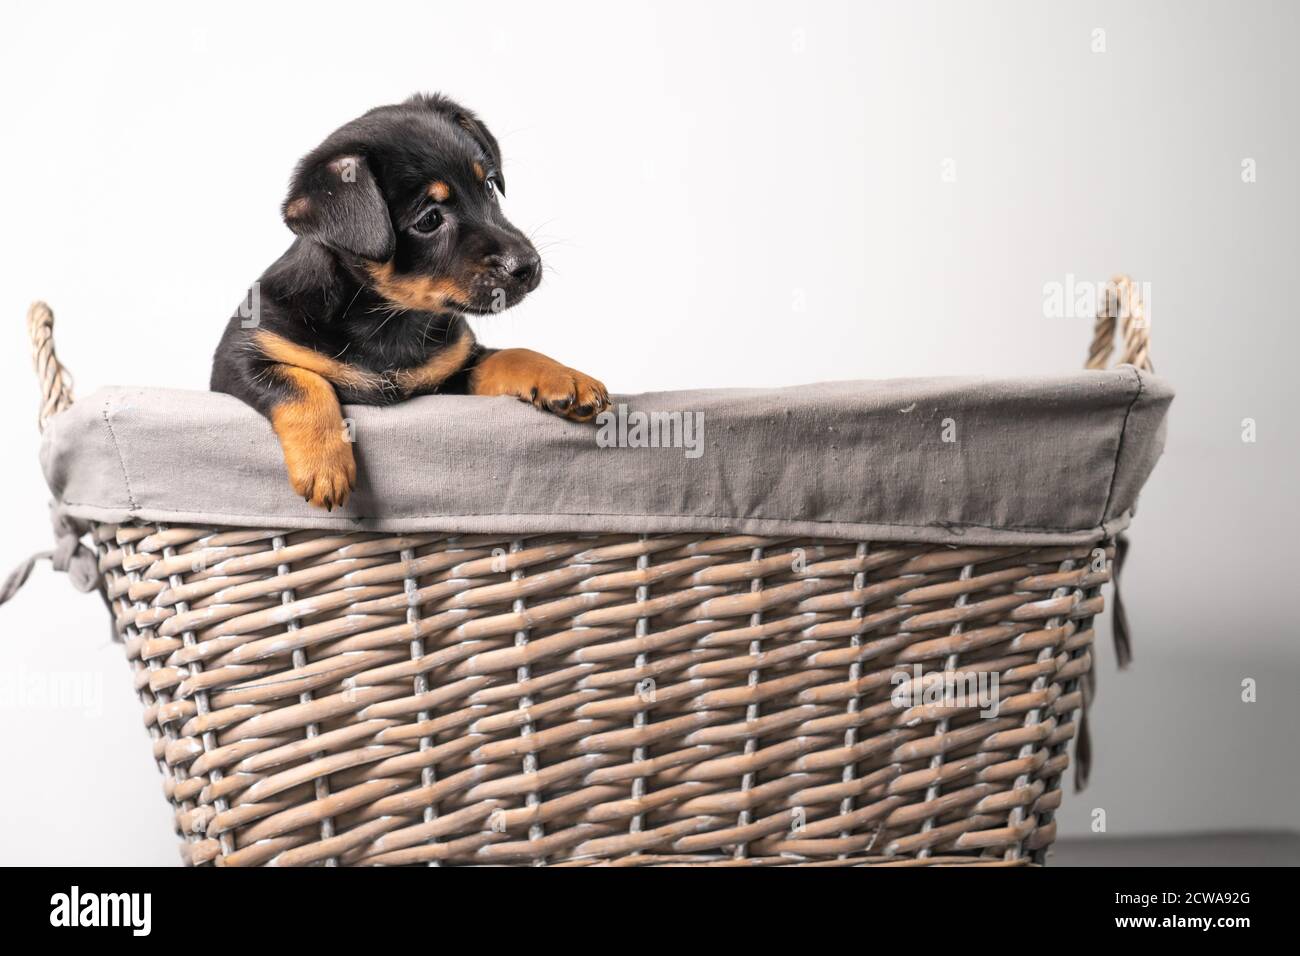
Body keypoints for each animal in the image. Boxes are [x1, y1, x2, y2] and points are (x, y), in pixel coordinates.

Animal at [211, 94, 608, 512]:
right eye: (429, 220)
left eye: (487, 185)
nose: (528, 265)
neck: (387, 319)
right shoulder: (239, 356)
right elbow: (301, 383)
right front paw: (325, 465)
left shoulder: (453, 372)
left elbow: (510, 355)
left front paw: (565, 376)